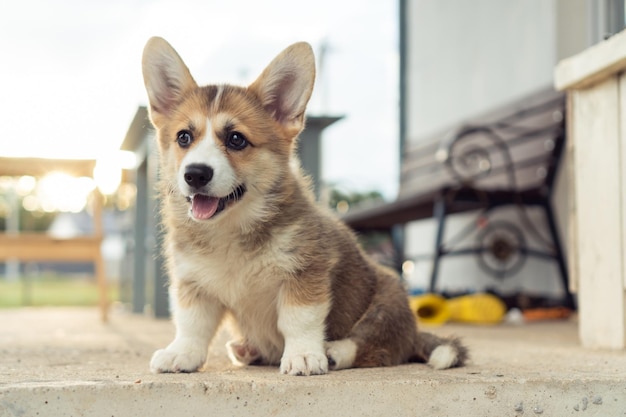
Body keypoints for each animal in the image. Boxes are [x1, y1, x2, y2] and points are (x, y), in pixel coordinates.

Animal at [140, 37, 464, 376]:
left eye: (236, 139)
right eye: (184, 137)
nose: (195, 174)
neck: (231, 228)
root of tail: (414, 334)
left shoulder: (305, 272)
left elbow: (298, 320)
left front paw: (304, 356)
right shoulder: (193, 283)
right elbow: (192, 325)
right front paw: (181, 354)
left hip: (389, 300)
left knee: (374, 343)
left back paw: (334, 352)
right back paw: (247, 350)